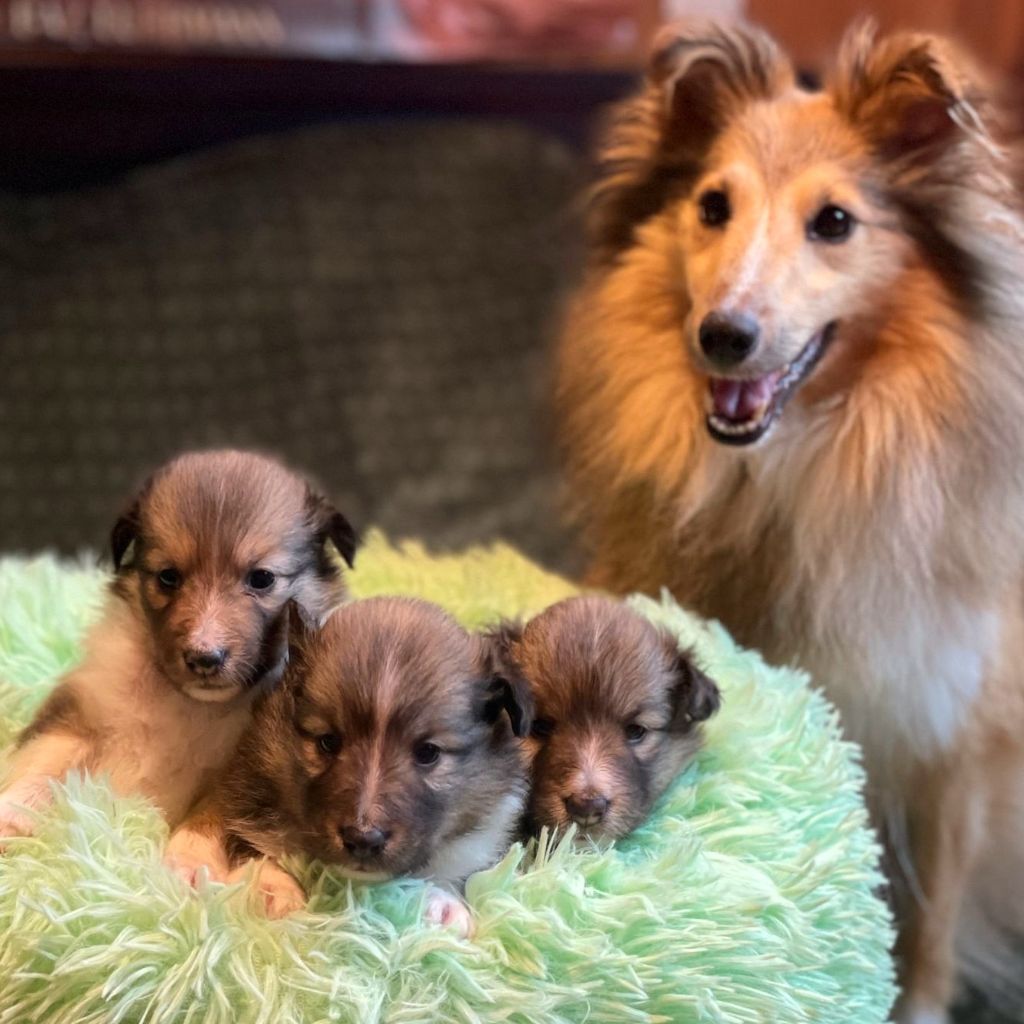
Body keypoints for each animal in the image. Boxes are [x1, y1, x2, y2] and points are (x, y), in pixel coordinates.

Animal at [0, 452, 360, 843]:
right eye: (168, 577)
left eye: (262, 578)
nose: (204, 658)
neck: (189, 704)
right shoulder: (81, 709)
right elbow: (48, 755)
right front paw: (13, 810)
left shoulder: (252, 768)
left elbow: (215, 813)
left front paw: (184, 855)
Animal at [165, 598, 536, 933]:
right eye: (328, 742)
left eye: (428, 752)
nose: (363, 839)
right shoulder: (249, 780)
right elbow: (249, 841)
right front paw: (272, 890)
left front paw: (442, 905)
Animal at [557, 16, 1024, 1024]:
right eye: (712, 205)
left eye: (835, 222)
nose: (723, 336)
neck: (797, 471)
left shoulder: (954, 749)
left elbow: (927, 931)